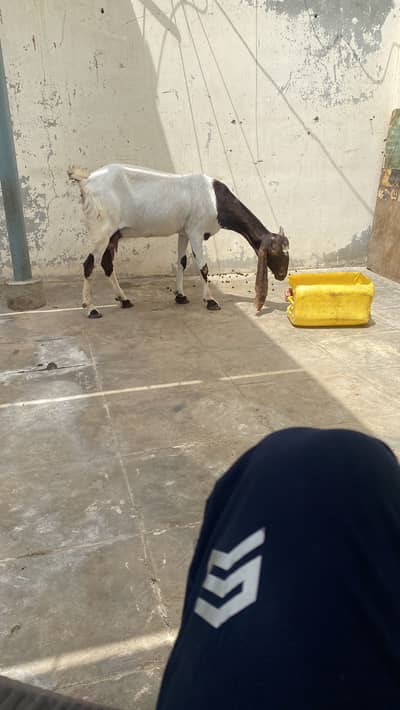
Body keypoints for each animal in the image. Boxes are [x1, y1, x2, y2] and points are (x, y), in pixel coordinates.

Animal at [68, 164, 289, 318]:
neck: (216, 200)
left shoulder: (184, 231)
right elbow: (203, 267)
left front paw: (180, 296)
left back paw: (124, 299)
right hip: (101, 230)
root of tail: (86, 182)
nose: (281, 275)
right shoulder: (196, 231)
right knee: (89, 264)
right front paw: (210, 300)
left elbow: (181, 262)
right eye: (278, 251)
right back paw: (91, 309)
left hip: (112, 234)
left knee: (106, 264)